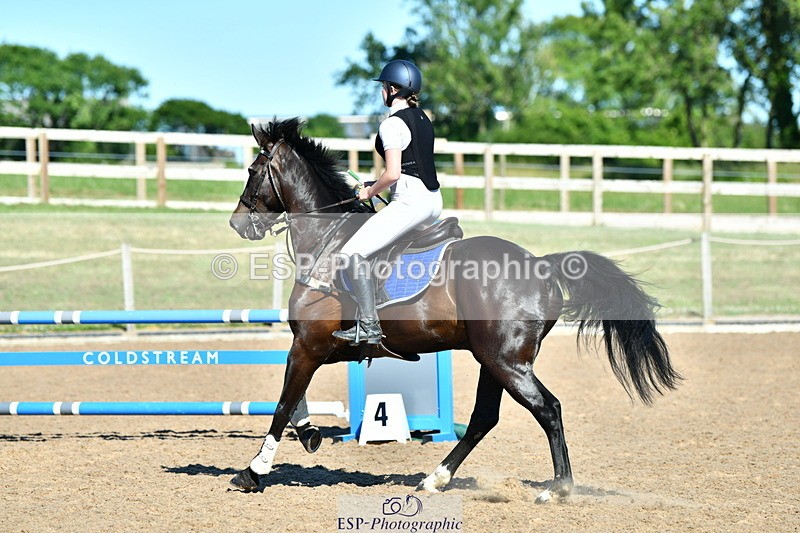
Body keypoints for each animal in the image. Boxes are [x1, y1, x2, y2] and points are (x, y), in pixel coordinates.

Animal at [227, 118, 681, 502]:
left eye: (251, 169)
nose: (238, 224)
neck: (326, 240)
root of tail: (542, 263)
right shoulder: (315, 347)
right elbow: (294, 402)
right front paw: (309, 434)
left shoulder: (308, 344)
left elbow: (283, 404)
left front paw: (254, 471)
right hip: (493, 360)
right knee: (484, 419)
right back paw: (435, 479)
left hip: (505, 361)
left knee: (547, 409)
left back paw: (558, 489)